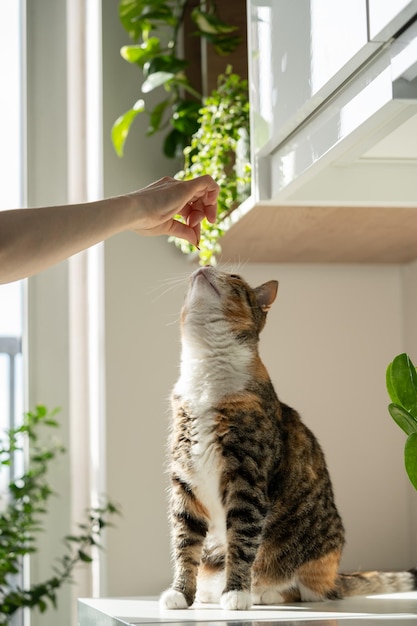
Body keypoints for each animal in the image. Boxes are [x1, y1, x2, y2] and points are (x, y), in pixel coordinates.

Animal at [159, 266, 416, 608]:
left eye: (234, 275)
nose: (204, 266)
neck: (205, 374)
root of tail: (336, 577)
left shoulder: (247, 479)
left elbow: (242, 541)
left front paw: (236, 593)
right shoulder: (185, 480)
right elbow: (185, 545)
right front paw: (180, 594)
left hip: (314, 558)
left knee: (303, 589)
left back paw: (261, 592)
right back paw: (209, 593)